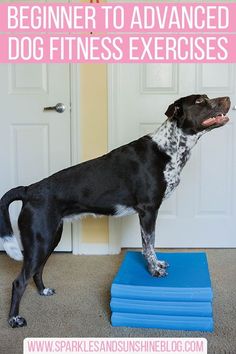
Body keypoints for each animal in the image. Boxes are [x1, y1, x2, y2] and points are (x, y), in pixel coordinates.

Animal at [0, 93, 229, 326]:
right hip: (40, 240)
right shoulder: (148, 211)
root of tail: (28, 189)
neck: (168, 148)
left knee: (37, 271)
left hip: (50, 238)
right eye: (200, 101)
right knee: (19, 282)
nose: (228, 98)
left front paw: (158, 264)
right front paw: (154, 270)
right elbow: (149, 245)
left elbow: (151, 245)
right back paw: (14, 319)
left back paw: (43, 291)